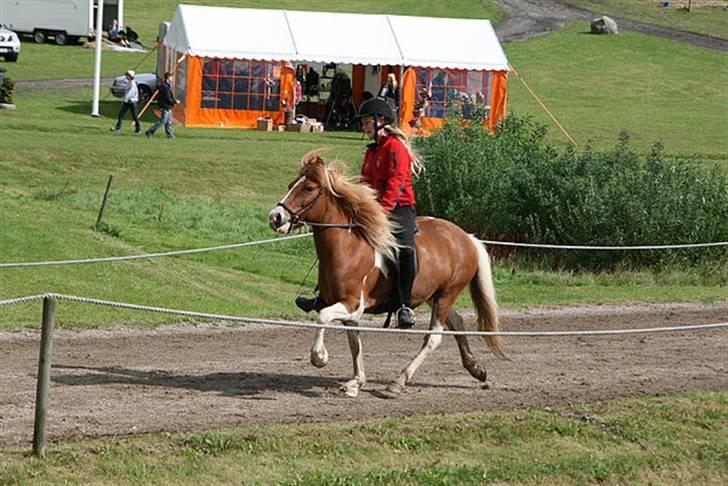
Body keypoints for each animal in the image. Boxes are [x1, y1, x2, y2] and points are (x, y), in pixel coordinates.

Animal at [270, 152, 504, 398]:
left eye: (309, 188)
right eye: (291, 185)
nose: (276, 217)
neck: (348, 247)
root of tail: (467, 237)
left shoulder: (352, 303)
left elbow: (323, 317)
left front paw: (320, 357)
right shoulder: (348, 308)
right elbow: (354, 341)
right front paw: (356, 382)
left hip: (447, 294)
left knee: (433, 338)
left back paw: (398, 382)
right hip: (434, 295)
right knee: (457, 321)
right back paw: (476, 369)